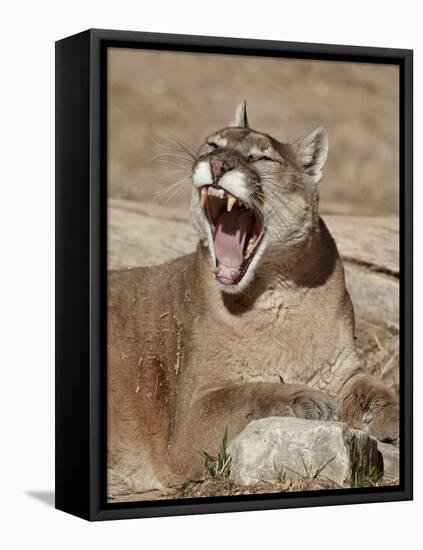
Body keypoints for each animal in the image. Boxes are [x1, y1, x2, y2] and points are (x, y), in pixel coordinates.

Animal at [107, 101, 400, 498]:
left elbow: (376, 388)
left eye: (261, 157)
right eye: (213, 145)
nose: (217, 164)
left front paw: (394, 419)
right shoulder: (192, 417)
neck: (278, 292)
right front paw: (306, 400)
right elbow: (250, 394)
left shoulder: (343, 371)